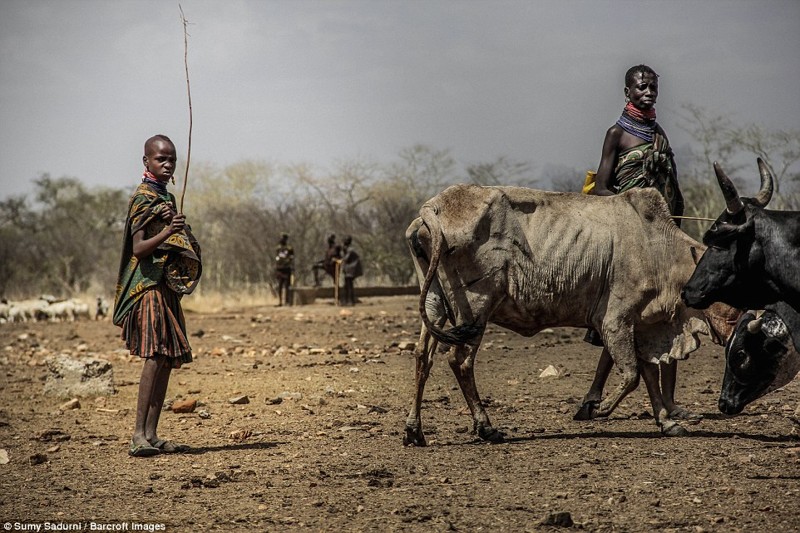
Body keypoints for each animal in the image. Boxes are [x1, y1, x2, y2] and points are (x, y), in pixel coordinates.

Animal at [406, 183, 736, 444]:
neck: (660, 250)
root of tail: (433, 208)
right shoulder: (615, 321)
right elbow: (632, 376)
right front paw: (599, 409)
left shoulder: (640, 326)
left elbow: (648, 375)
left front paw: (667, 422)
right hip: (476, 307)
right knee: (460, 361)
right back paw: (486, 428)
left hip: (435, 302)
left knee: (424, 356)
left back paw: (414, 431)